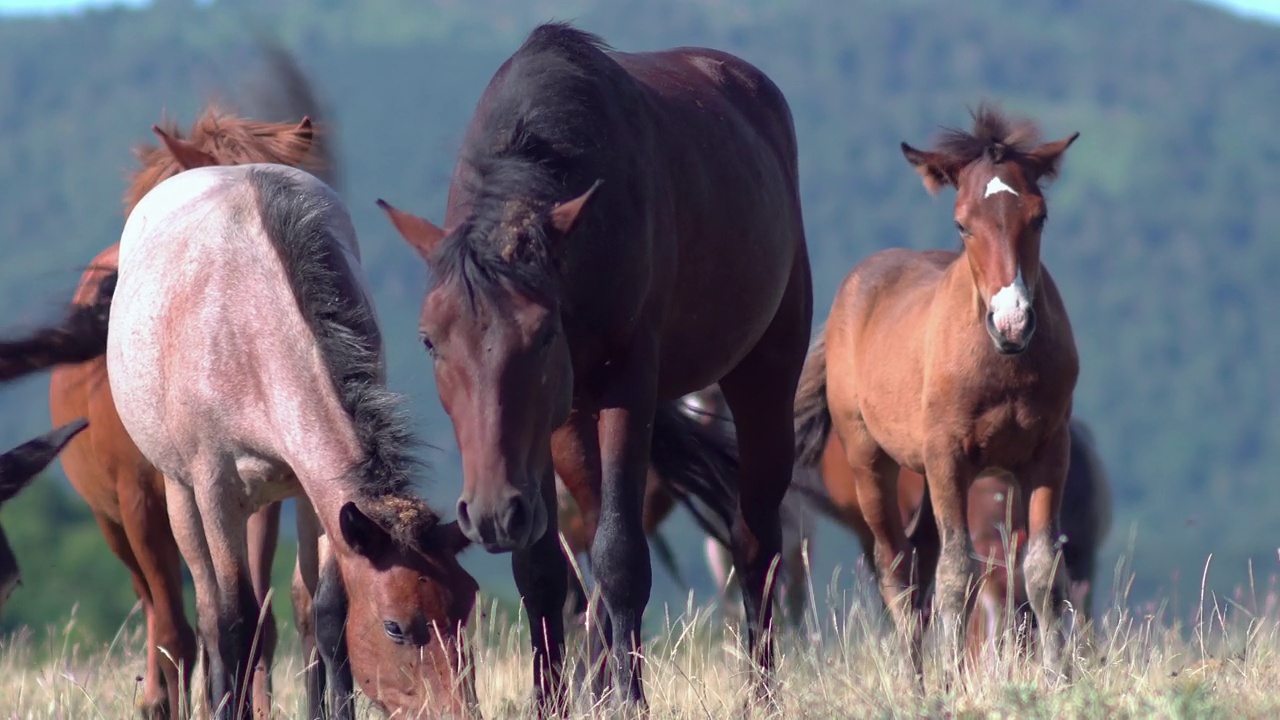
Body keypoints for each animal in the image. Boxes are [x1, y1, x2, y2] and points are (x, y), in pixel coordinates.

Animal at [373, 20, 808, 707]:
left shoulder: (628, 384)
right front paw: (553, 699)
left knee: (756, 539)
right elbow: (544, 570)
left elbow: (621, 557)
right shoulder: (548, 426)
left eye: (545, 333)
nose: (489, 512)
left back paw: (758, 694)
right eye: (429, 341)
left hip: (766, 371)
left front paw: (631, 701)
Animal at [788, 103, 1080, 681]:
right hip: (870, 460)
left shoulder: (1049, 451)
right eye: (961, 224)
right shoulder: (948, 455)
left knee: (919, 556)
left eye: (1039, 217)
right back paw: (917, 679)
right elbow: (956, 570)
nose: (1012, 321)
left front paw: (1059, 678)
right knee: (896, 566)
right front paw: (952, 678)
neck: (1005, 365)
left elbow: (1040, 570)